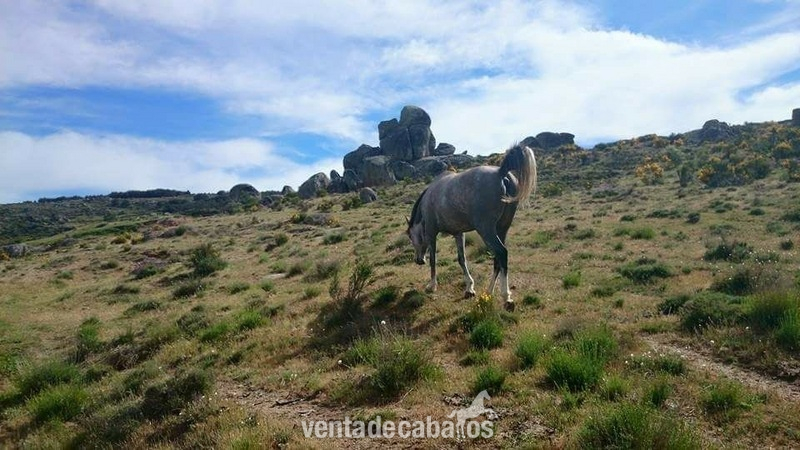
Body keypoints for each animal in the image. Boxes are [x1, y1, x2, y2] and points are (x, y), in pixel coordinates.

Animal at [406, 144, 536, 311]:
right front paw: (469, 288)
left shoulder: (431, 233)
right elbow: (462, 259)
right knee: (497, 259)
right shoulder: (458, 233)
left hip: (486, 230)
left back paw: (506, 297)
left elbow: (433, 259)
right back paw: (488, 292)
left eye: (410, 236)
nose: (418, 260)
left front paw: (432, 285)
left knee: (502, 253)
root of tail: (501, 173)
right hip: (501, 229)